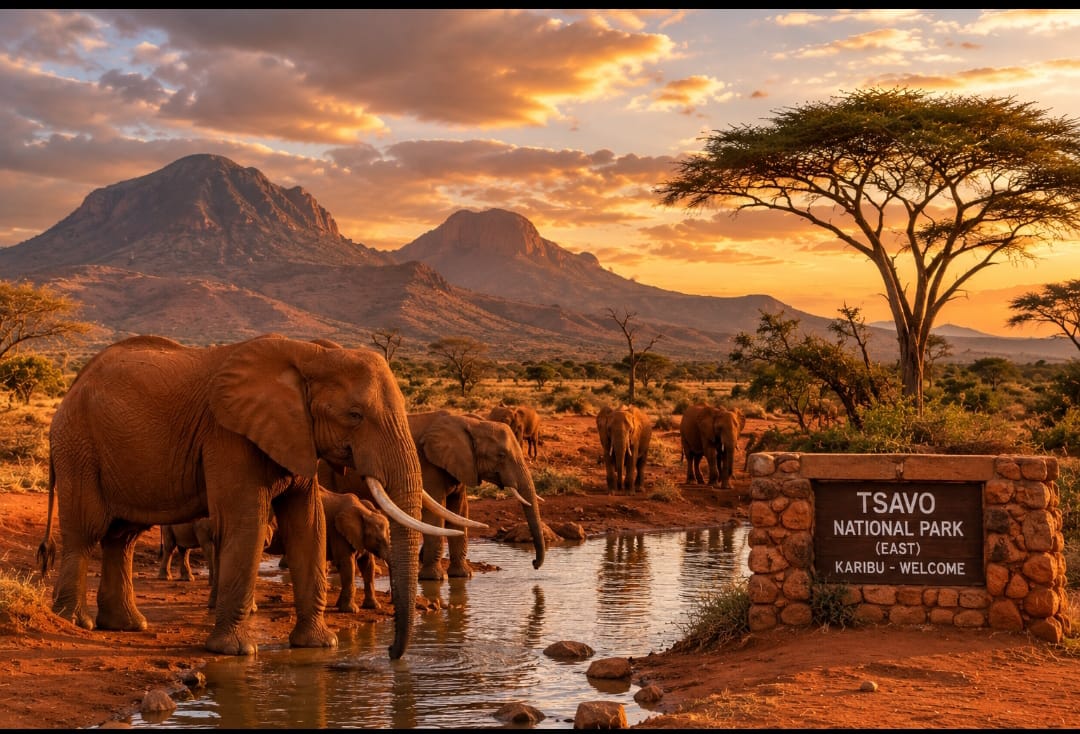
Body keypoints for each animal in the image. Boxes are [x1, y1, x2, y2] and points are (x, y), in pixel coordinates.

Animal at [37, 333, 461, 659]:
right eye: (355, 415)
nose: (390, 653)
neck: (312, 353)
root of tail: (70, 390)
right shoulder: (228, 435)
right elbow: (246, 521)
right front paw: (236, 652)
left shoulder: (295, 436)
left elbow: (308, 525)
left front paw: (319, 646)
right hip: (78, 447)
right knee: (86, 531)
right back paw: (75, 623)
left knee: (121, 537)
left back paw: (127, 626)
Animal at [320, 409, 546, 583]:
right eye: (501, 455)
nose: (534, 564)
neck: (469, 422)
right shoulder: (428, 465)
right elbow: (436, 513)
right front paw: (435, 579)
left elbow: (459, 511)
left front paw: (463, 576)